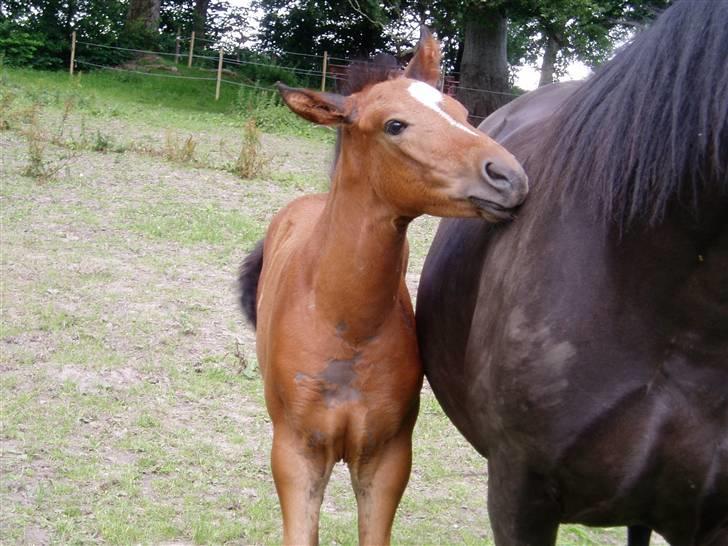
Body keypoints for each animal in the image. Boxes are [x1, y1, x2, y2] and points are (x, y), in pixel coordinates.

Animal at [239, 30, 528, 544]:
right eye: (395, 125)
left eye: (461, 112)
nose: (508, 177)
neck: (345, 325)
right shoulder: (295, 456)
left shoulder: (387, 457)